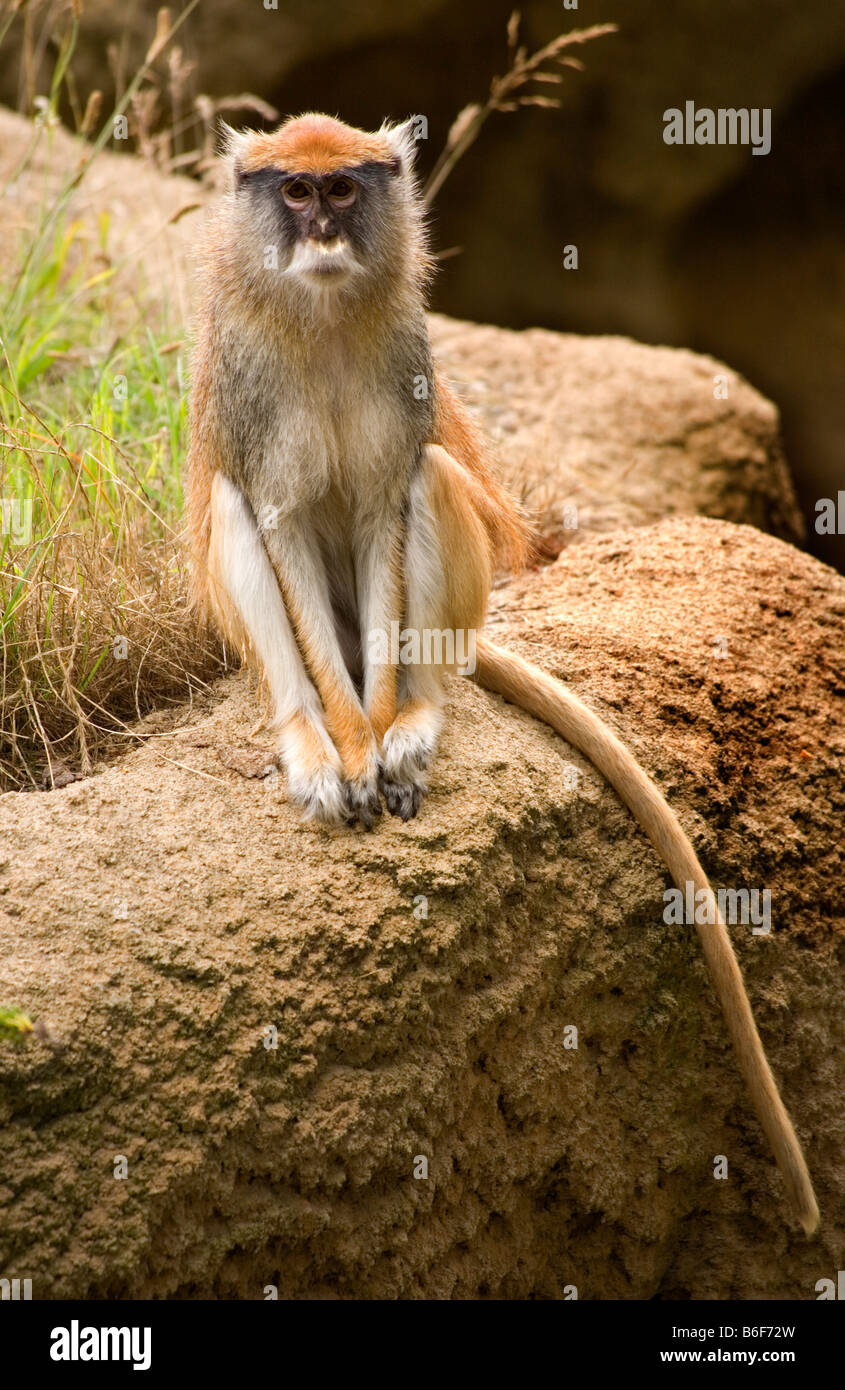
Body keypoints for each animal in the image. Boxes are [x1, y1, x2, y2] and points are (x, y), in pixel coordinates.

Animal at [184, 112, 819, 1237]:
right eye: (294, 194)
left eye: (343, 192)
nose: (323, 231)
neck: (323, 316)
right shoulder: (250, 389)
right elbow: (273, 517)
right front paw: (344, 747)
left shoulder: (403, 369)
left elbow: (386, 501)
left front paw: (381, 734)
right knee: (232, 507)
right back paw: (310, 734)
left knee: (430, 481)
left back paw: (417, 713)